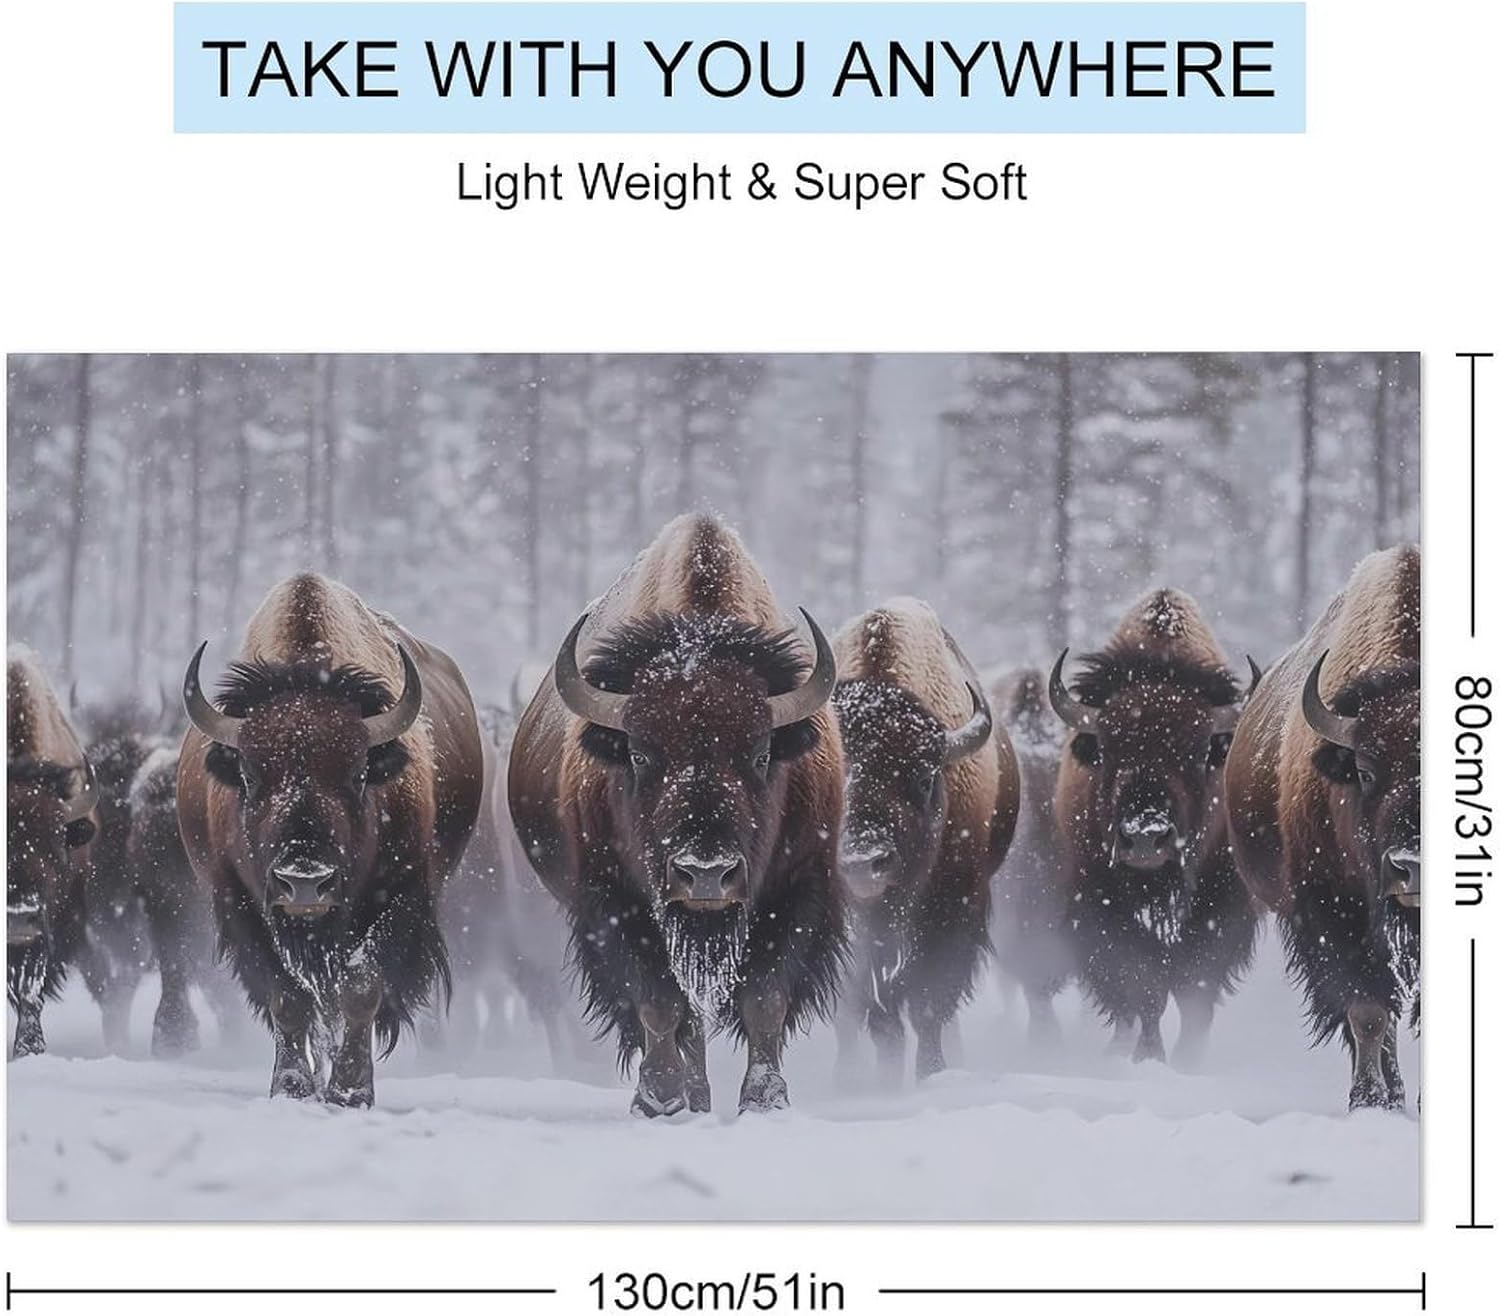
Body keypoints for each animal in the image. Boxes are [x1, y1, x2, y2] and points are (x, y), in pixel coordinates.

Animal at [176, 573, 483, 1105]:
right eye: (250, 776)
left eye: (359, 774)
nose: (304, 882)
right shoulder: (240, 902)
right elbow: (288, 997)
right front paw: (294, 1087)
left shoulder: (402, 894)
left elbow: (359, 986)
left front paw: (350, 1090)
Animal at [508, 513, 845, 1116]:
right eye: (640, 755)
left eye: (761, 753)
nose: (705, 874)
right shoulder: (617, 901)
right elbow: (659, 1000)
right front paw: (660, 1095)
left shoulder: (798, 888)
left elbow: (765, 997)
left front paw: (765, 1098)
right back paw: (691, 1092)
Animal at [831, 599, 1018, 1082]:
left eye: (922, 776)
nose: (862, 861)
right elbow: (873, 1007)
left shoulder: (953, 908)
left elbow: (928, 1000)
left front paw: (930, 1074)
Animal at [1050, 589, 1259, 1065]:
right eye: (1108, 748)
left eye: (1197, 750)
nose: (1146, 835)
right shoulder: (1101, 906)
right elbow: (1143, 987)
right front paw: (1149, 1057)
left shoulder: (1222, 909)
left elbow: (1195, 989)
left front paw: (1187, 1060)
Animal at [1225, 545, 1419, 1109]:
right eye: (1366, 771)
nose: (1410, 869)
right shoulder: (1333, 912)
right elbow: (1368, 1011)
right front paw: (1368, 1101)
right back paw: (1390, 1093)